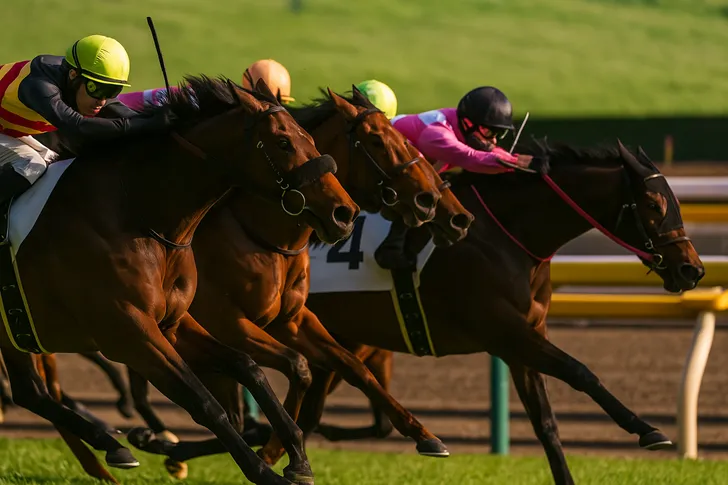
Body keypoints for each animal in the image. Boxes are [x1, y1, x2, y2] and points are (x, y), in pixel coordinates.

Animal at [0, 75, 359, 485]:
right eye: (283, 142)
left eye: (310, 138)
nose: (345, 213)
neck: (136, 212)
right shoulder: (130, 334)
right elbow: (205, 402)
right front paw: (263, 471)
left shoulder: (172, 324)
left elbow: (247, 366)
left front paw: (296, 456)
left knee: (30, 393)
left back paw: (110, 443)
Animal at [117, 87, 473, 474]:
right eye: (377, 141)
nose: (431, 200)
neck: (262, 234)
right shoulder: (229, 323)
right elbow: (295, 368)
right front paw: (279, 450)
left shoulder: (290, 319)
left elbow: (348, 366)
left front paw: (425, 434)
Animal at [279, 139, 704, 485]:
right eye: (654, 204)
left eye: (676, 202)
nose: (693, 269)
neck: (508, 236)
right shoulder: (504, 331)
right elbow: (580, 371)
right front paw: (648, 430)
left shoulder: (522, 342)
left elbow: (547, 425)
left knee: (315, 411)